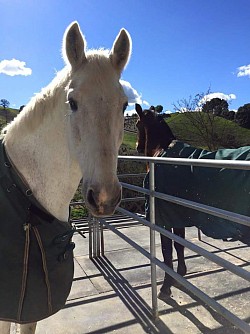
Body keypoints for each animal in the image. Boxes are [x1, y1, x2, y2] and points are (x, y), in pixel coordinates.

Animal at [136, 103, 187, 300]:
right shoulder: (178, 216)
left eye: (137, 124)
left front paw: (166, 285)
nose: (138, 146)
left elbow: (167, 249)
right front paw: (180, 274)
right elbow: (179, 244)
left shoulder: (164, 219)